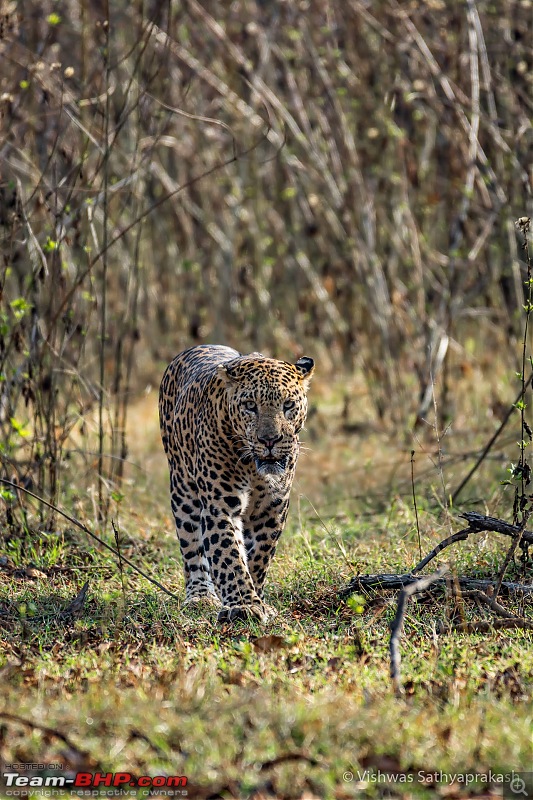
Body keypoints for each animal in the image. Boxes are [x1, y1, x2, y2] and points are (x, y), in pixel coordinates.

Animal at [160, 344, 314, 624]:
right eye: (250, 406)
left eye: (288, 405)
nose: (269, 440)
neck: (253, 469)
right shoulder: (220, 507)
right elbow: (228, 556)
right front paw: (243, 605)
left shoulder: (272, 509)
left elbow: (258, 557)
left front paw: (257, 600)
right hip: (183, 492)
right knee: (192, 547)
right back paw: (200, 596)